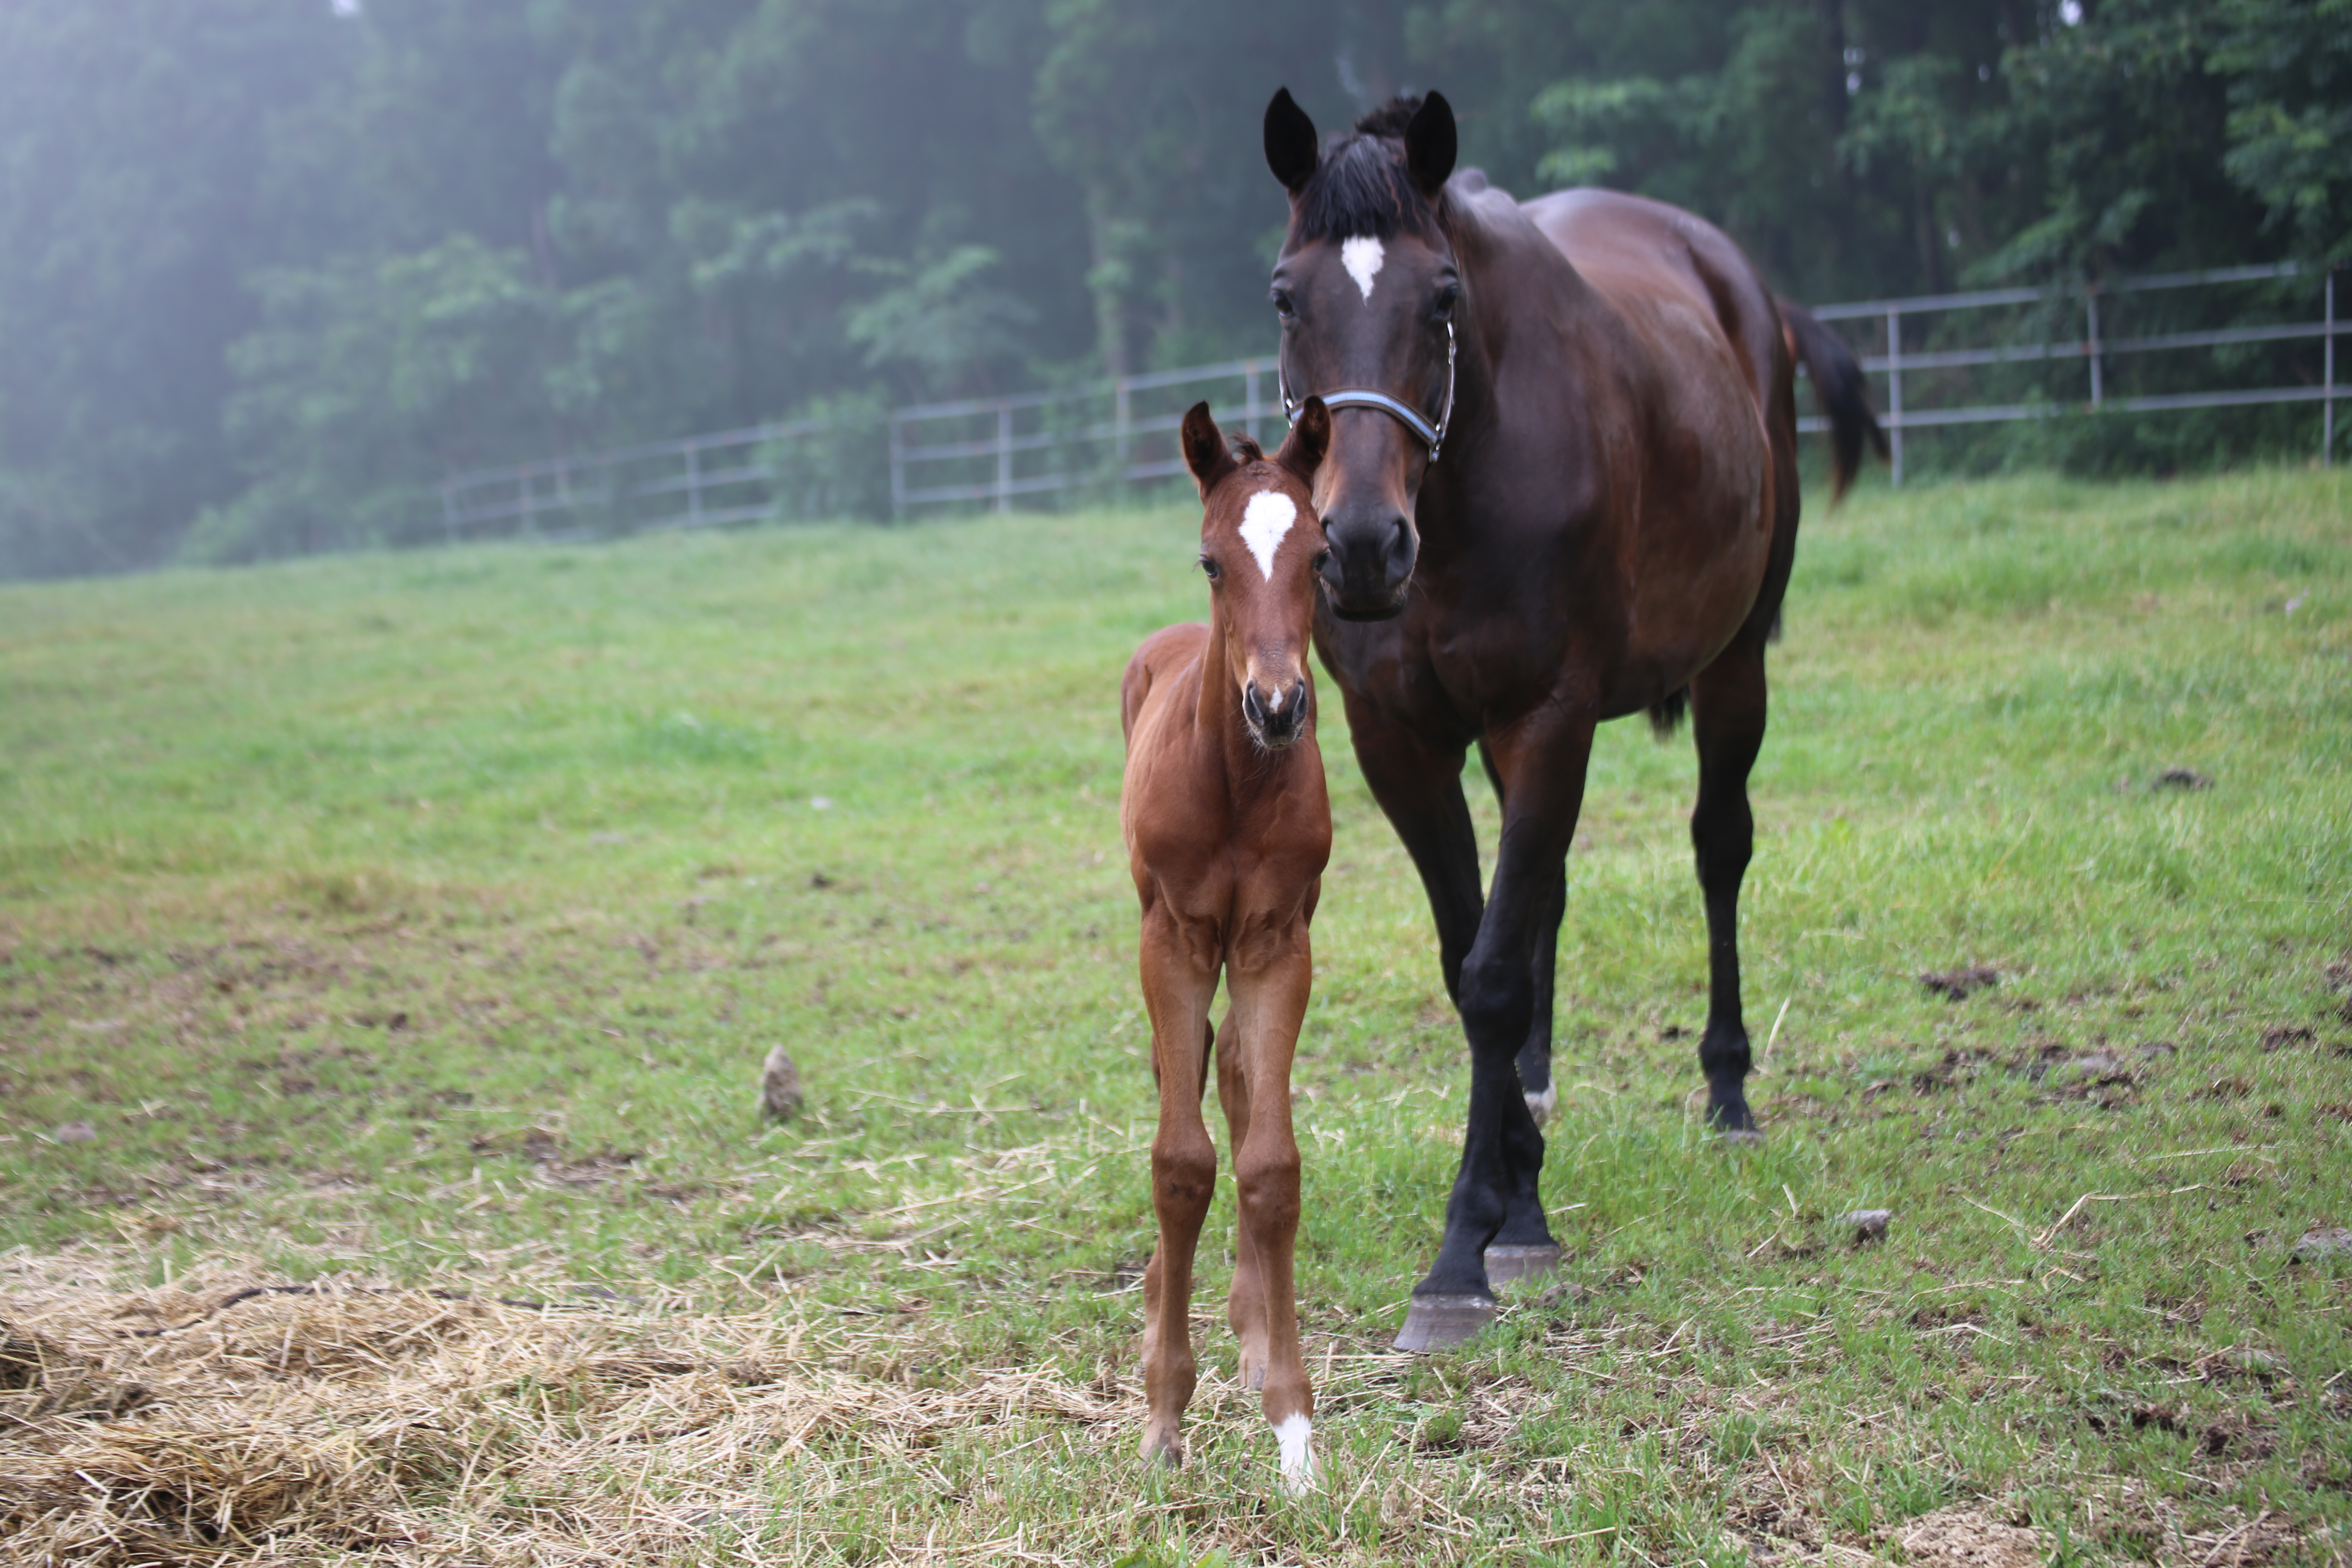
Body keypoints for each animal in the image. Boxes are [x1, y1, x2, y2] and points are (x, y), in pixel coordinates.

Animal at [1261, 89, 1882, 1354]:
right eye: (1286, 297)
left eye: (1442, 298)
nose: (1360, 546)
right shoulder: (1398, 740)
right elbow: (1471, 953)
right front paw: (1519, 1187)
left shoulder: (1548, 717)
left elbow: (1493, 974)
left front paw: (1466, 1248)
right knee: (1541, 890)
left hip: (1734, 665)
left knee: (1718, 849)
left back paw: (1727, 1089)